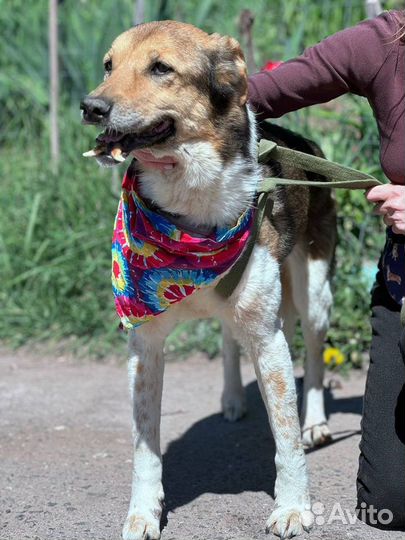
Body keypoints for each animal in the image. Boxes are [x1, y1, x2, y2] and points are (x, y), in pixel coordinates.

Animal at [80, 19, 336, 536]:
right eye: (108, 65)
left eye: (161, 68)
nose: (91, 107)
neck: (190, 205)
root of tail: (307, 143)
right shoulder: (144, 344)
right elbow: (145, 446)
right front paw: (143, 513)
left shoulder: (268, 337)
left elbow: (286, 436)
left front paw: (293, 507)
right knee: (227, 339)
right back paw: (233, 399)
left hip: (313, 293)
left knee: (315, 355)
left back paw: (316, 420)